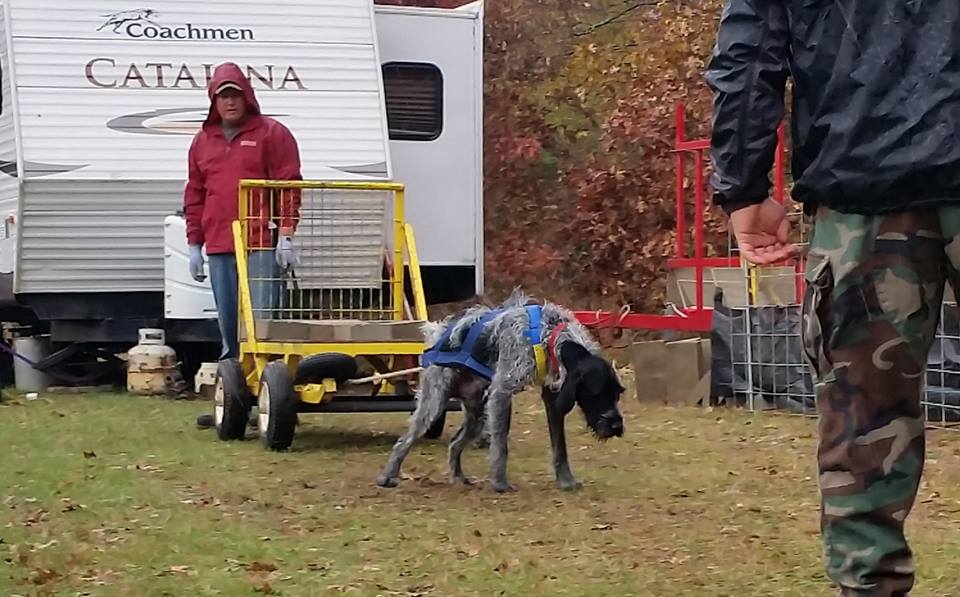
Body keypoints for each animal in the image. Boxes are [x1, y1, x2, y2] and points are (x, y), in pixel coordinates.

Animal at [376, 288, 624, 488]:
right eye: (596, 392)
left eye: (617, 394)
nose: (617, 427)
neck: (548, 333)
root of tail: (439, 333)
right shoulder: (502, 393)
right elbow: (500, 446)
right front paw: (499, 482)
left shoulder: (552, 397)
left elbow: (559, 447)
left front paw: (566, 481)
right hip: (435, 403)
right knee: (404, 441)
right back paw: (387, 476)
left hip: (478, 415)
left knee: (455, 443)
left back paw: (457, 477)